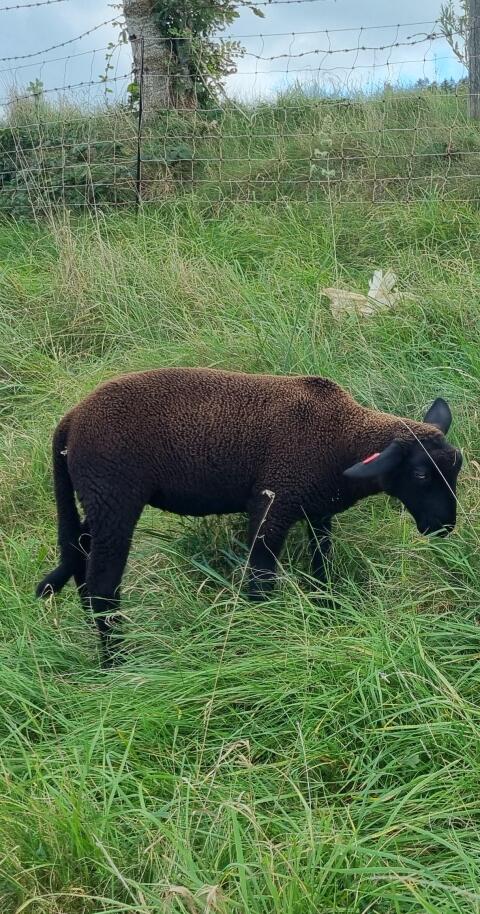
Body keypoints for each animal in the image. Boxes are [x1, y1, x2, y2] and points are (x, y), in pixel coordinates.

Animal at [36, 367, 462, 664]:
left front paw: (325, 610)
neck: (342, 438)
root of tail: (70, 420)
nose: (444, 526)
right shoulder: (271, 506)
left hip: (98, 499)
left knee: (81, 551)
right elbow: (261, 581)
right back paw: (116, 663)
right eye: (421, 475)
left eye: (457, 465)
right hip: (115, 496)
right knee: (102, 587)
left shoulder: (317, 511)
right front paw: (263, 635)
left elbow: (321, 566)